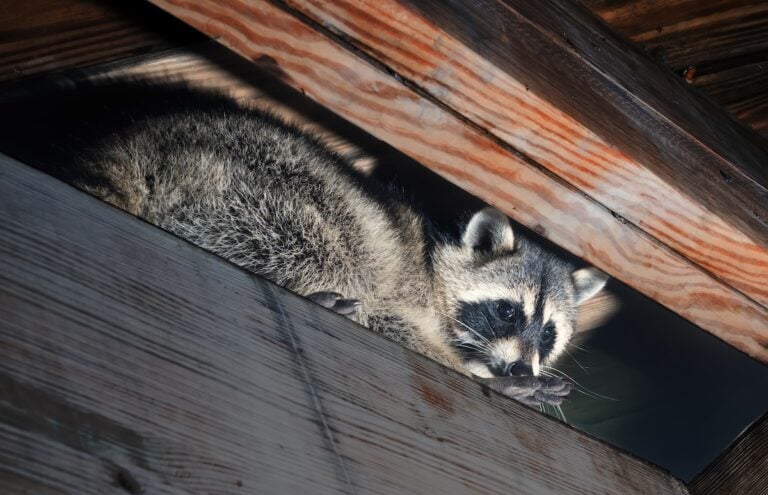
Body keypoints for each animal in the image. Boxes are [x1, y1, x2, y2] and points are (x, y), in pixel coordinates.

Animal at [0, 81, 607, 406]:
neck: (434, 265)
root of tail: (136, 142)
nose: (521, 371)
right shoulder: (401, 288)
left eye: (548, 333)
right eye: (506, 312)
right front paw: (481, 377)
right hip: (255, 185)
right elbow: (393, 321)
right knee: (324, 240)